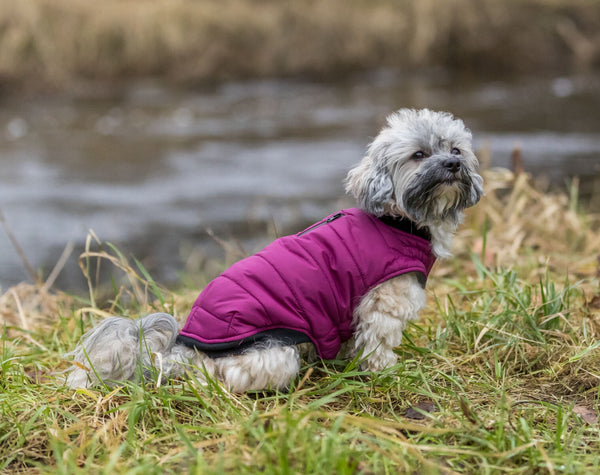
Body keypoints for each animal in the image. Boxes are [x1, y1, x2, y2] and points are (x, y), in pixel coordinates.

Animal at [65, 109, 486, 392]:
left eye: (455, 148)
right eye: (418, 155)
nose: (453, 164)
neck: (397, 221)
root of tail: (180, 348)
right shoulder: (383, 304)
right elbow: (378, 343)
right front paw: (385, 370)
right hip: (274, 352)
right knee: (225, 376)